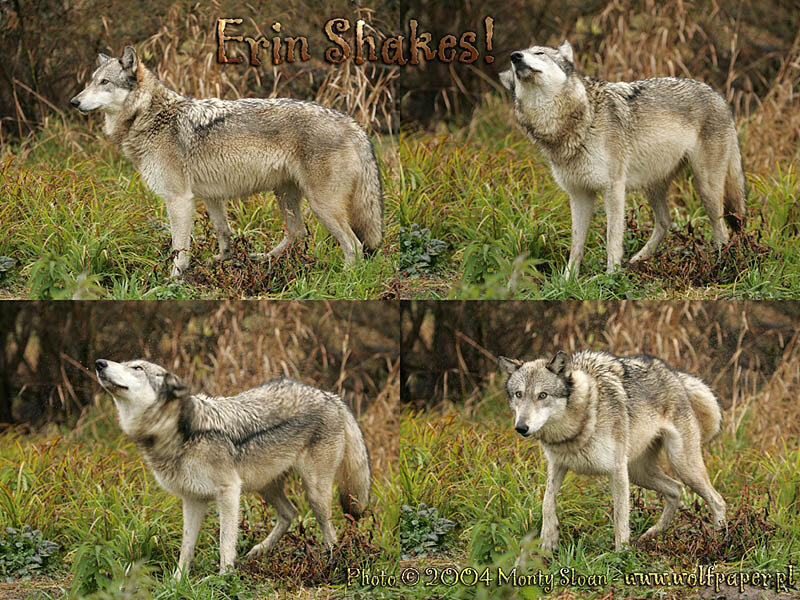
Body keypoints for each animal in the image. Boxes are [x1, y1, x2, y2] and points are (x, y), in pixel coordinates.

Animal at [71, 46, 383, 277]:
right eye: (91, 81)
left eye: (104, 82)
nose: (74, 102)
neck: (149, 116)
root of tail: (354, 124)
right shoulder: (209, 196)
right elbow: (224, 233)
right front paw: (222, 261)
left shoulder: (179, 199)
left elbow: (179, 249)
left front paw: (173, 281)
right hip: (285, 194)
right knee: (298, 233)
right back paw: (262, 260)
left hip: (322, 206)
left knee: (354, 246)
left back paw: (343, 279)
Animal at [94, 358, 371, 576]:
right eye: (125, 363)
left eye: (137, 367)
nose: (99, 363)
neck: (179, 433)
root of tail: (331, 397)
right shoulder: (192, 499)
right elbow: (187, 548)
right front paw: (177, 582)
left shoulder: (228, 492)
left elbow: (225, 541)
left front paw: (223, 579)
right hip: (265, 487)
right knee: (291, 513)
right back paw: (258, 551)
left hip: (314, 493)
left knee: (329, 529)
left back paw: (331, 562)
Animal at [498, 350, 726, 552]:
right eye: (519, 394)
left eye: (542, 395)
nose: (521, 427)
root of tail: (674, 373)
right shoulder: (557, 465)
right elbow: (546, 503)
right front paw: (548, 542)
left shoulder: (617, 471)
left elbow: (620, 517)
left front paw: (621, 553)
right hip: (640, 473)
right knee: (676, 489)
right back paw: (653, 534)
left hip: (681, 466)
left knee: (717, 500)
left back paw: (719, 539)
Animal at [499, 40, 746, 276]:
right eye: (514, 61)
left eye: (539, 53)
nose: (514, 56)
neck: (576, 123)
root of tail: (719, 96)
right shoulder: (579, 194)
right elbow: (576, 244)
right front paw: (567, 280)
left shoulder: (614, 188)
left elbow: (612, 238)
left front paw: (610, 275)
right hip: (653, 186)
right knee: (665, 222)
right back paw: (639, 259)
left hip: (705, 187)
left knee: (721, 228)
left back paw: (719, 263)